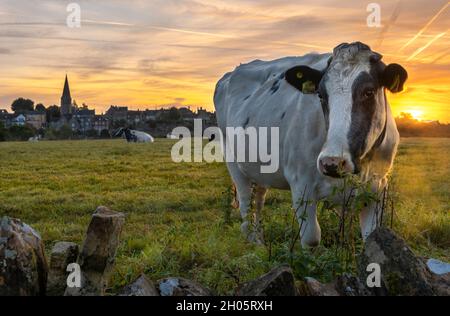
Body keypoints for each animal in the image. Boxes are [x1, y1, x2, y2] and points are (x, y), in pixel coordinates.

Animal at [214, 41, 408, 247]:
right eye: (321, 95)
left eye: (369, 92)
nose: (332, 162)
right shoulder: (301, 185)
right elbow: (311, 238)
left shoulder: (377, 188)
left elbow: (371, 236)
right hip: (234, 164)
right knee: (246, 208)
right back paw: (255, 243)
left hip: (259, 170)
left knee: (257, 202)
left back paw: (260, 242)